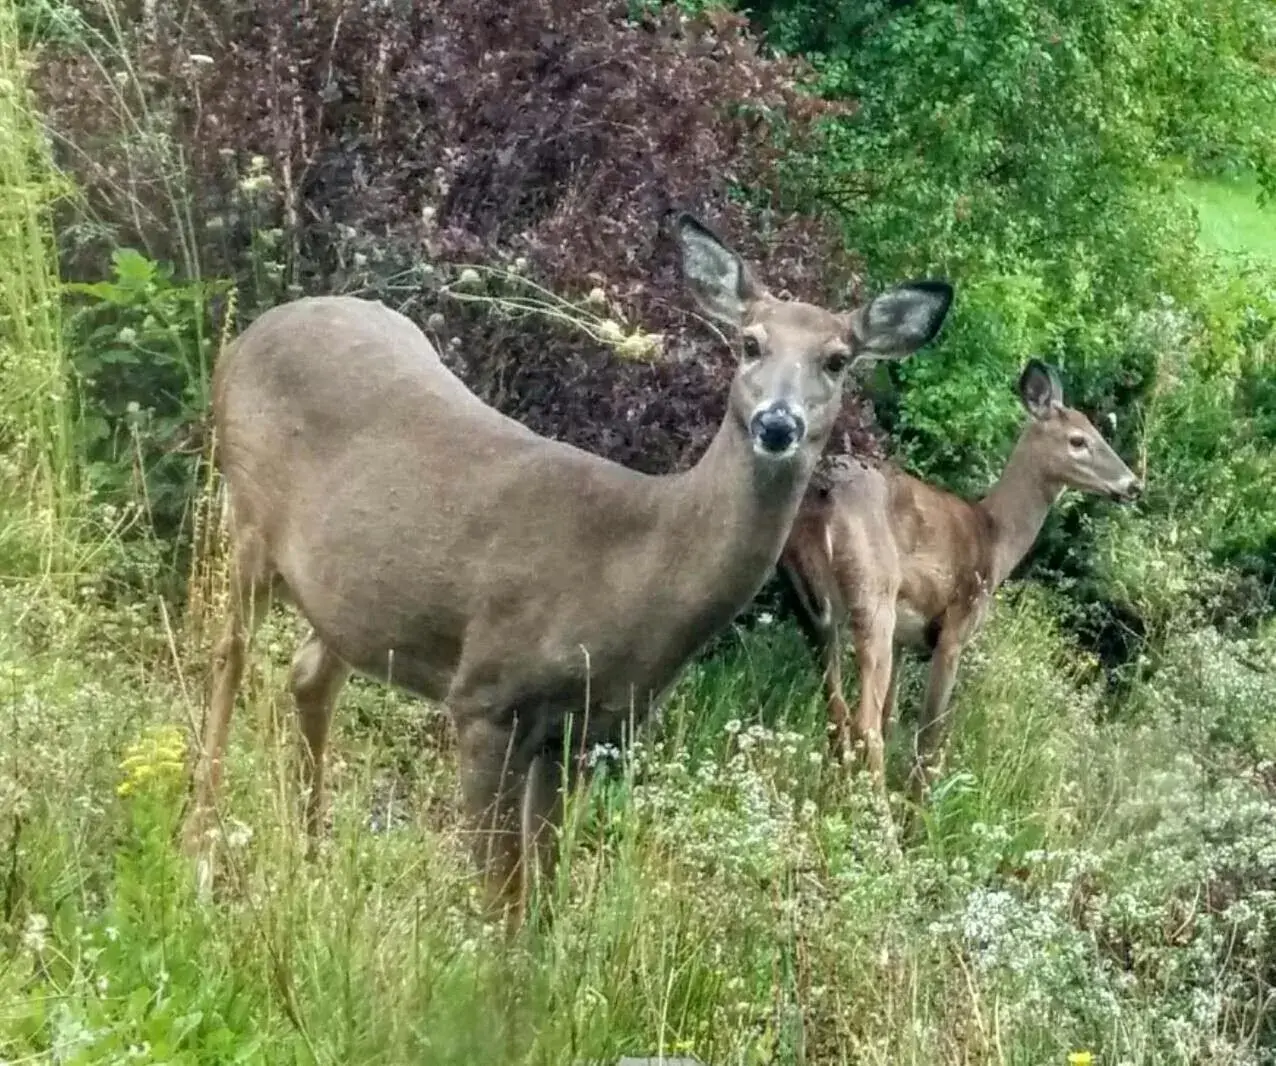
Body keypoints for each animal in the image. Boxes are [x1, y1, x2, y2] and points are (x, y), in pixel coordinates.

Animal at [182, 210, 959, 924]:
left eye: (837, 359)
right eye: (749, 343)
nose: (777, 423)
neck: (639, 565)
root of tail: (254, 332)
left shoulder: (588, 730)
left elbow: (543, 891)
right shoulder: (485, 695)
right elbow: (501, 893)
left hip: (351, 593)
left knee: (309, 673)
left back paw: (313, 850)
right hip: (246, 516)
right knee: (228, 656)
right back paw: (201, 844)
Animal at [775, 357, 1148, 801]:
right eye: (1078, 440)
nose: (1133, 485)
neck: (996, 538)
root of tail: (822, 501)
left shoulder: (905, 638)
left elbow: (893, 716)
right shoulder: (956, 626)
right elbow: (928, 733)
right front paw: (917, 808)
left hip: (809, 605)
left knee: (838, 710)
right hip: (873, 595)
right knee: (864, 720)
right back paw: (878, 817)